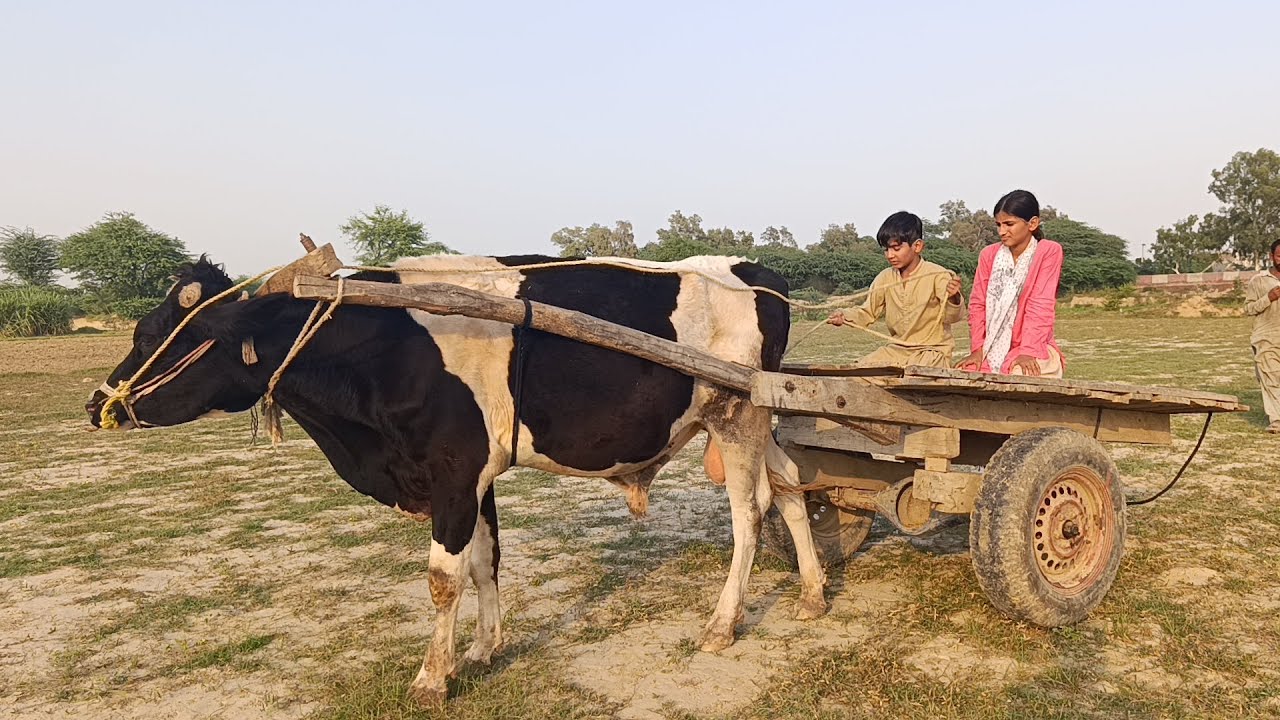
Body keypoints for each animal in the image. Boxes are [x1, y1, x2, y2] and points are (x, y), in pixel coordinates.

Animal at [86, 254, 827, 704]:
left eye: (156, 336)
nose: (95, 404)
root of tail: (751, 271)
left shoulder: (450, 469)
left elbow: (443, 578)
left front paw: (430, 678)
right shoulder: (473, 477)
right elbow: (483, 562)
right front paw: (481, 650)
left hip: (735, 417)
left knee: (748, 512)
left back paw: (723, 623)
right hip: (759, 416)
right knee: (793, 485)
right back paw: (813, 593)